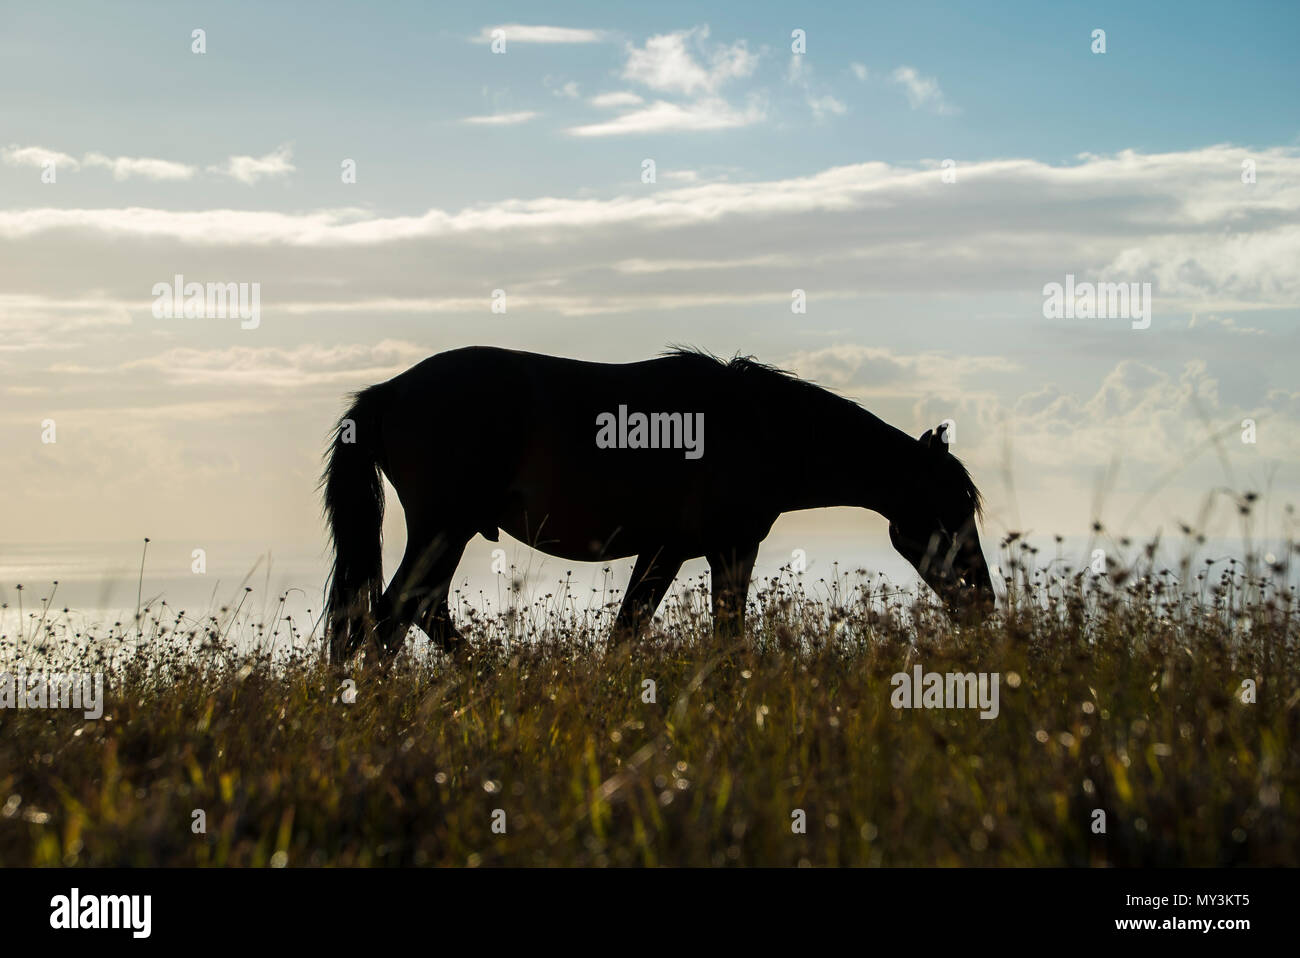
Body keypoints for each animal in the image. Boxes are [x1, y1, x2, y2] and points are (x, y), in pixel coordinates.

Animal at [319, 345, 987, 665]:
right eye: (951, 510)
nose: (984, 601)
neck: (758, 425)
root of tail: (385, 394)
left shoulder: (671, 552)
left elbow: (630, 632)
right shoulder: (723, 548)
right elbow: (719, 636)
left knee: (413, 613)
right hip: (444, 528)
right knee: (392, 617)